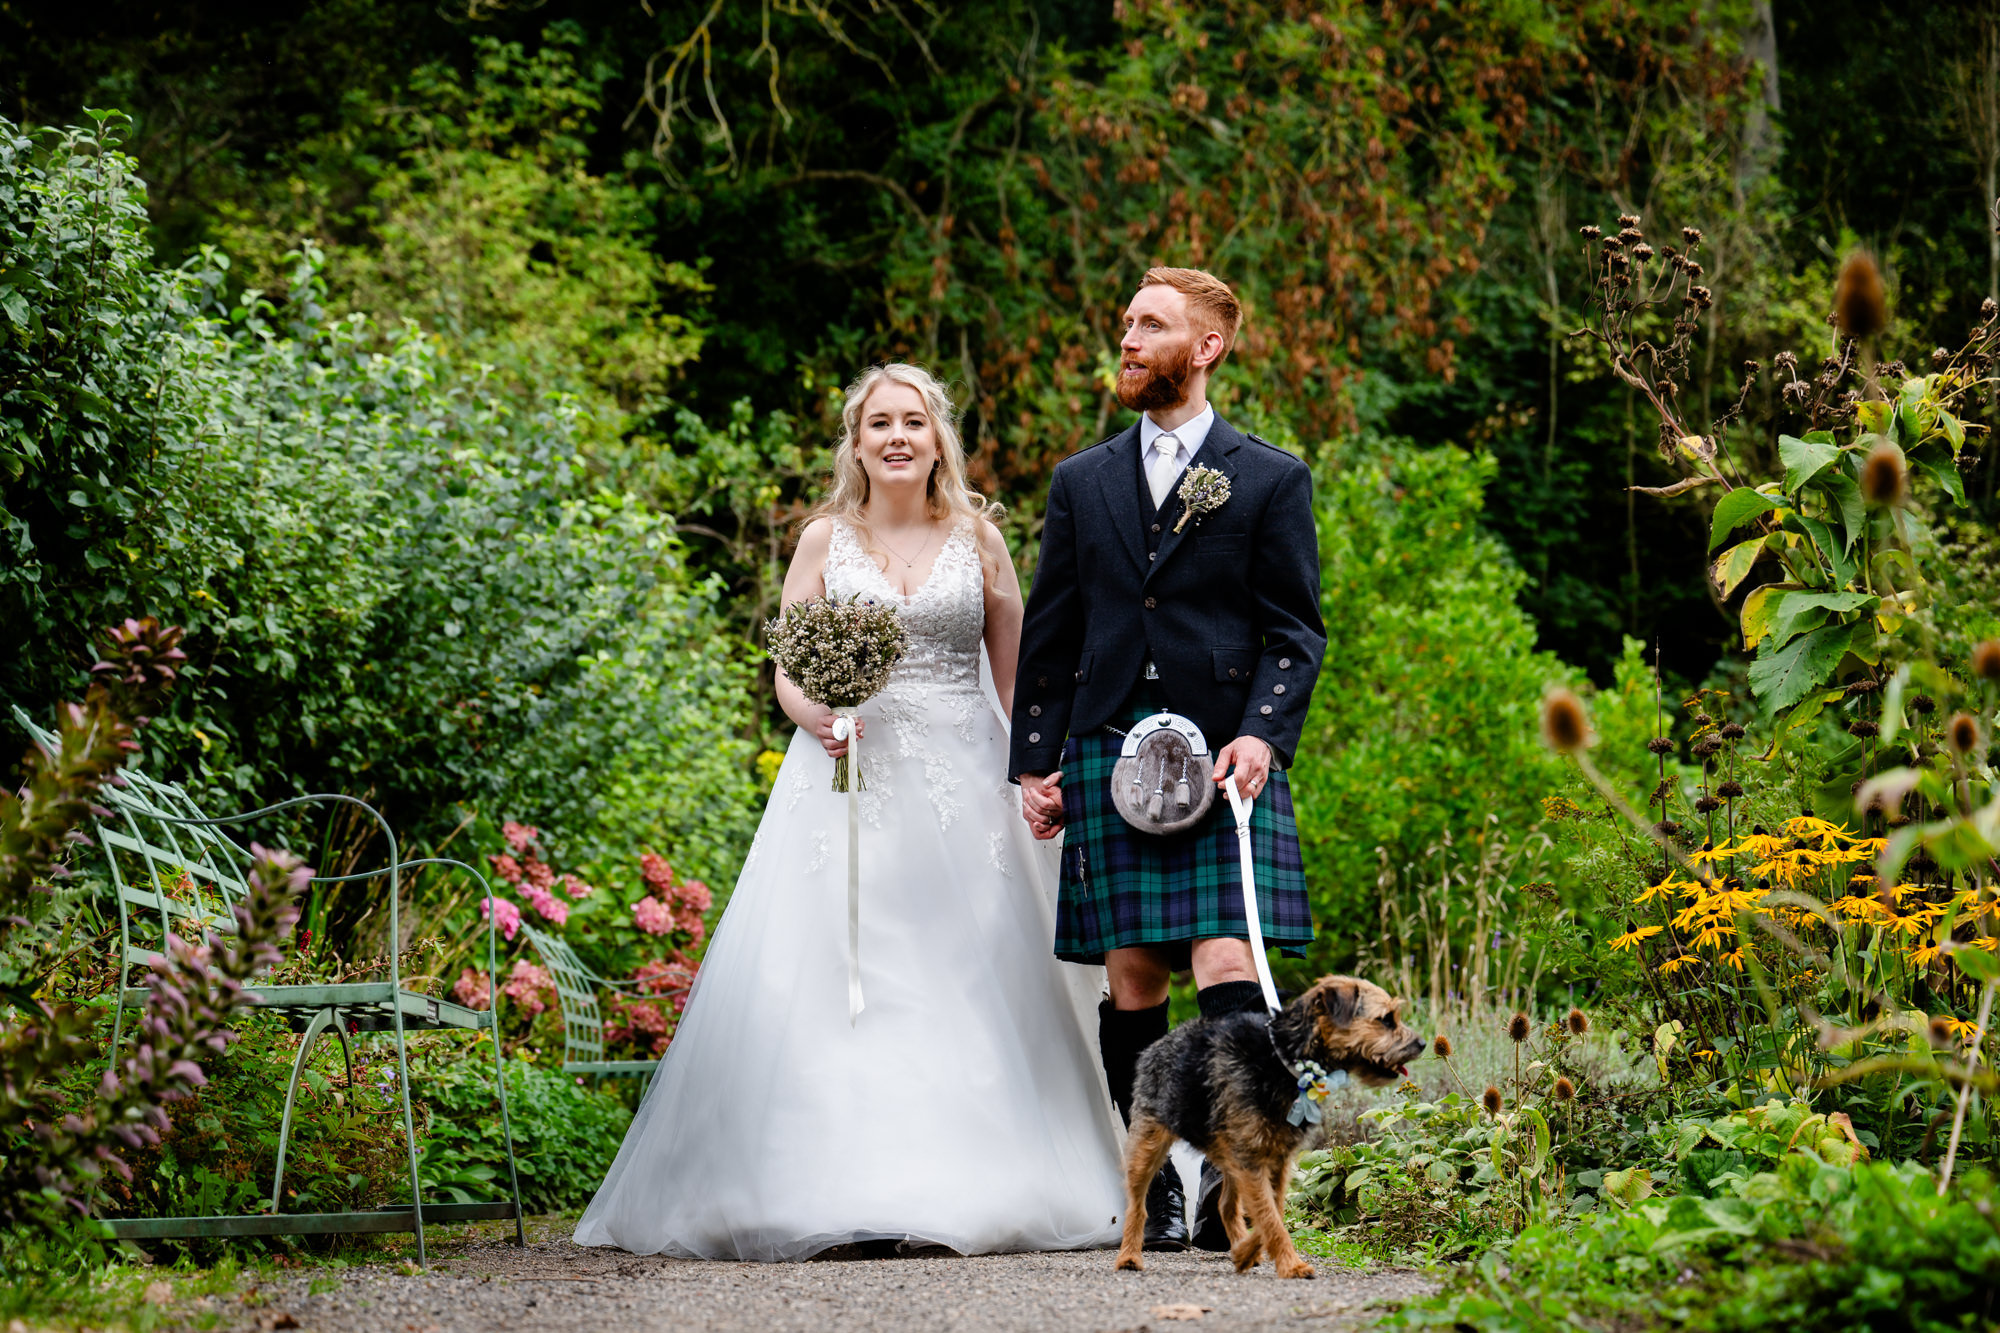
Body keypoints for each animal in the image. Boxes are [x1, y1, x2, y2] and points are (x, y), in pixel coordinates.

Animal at [1112, 972, 1424, 1272]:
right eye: (1385, 1019)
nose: (1421, 1043)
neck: (1284, 1059)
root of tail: (1163, 1041)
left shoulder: (1275, 1160)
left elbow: (1273, 1212)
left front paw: (1248, 1252)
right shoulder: (1253, 1162)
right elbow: (1270, 1217)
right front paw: (1292, 1265)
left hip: (1229, 1156)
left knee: (1226, 1205)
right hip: (1148, 1145)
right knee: (1138, 1207)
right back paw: (1129, 1257)